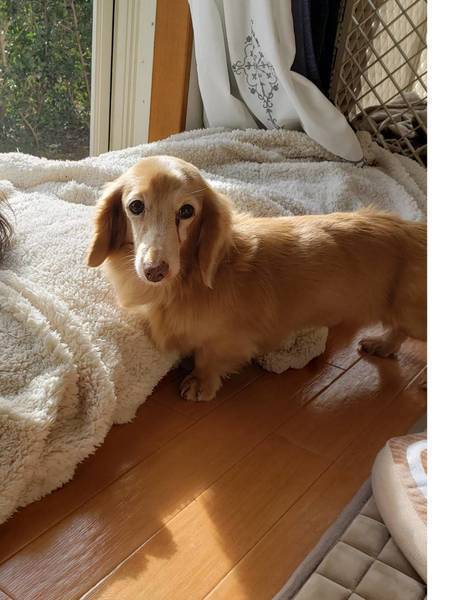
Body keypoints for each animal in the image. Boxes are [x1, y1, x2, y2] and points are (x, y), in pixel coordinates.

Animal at [86, 156, 426, 401]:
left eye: (186, 211)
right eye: (136, 206)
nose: (154, 270)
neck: (189, 280)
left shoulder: (227, 339)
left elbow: (208, 358)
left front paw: (199, 383)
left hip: (414, 314)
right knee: (397, 332)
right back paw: (383, 344)